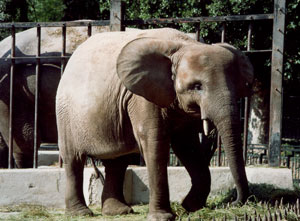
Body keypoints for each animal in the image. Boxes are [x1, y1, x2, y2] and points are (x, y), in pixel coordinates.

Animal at [55, 27, 253, 219]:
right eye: (197, 87)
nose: (234, 202)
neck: (184, 45)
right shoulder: (142, 98)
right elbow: (155, 146)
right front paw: (163, 217)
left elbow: (188, 147)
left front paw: (189, 207)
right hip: (65, 114)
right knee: (73, 159)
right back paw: (80, 213)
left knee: (117, 161)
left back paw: (118, 212)